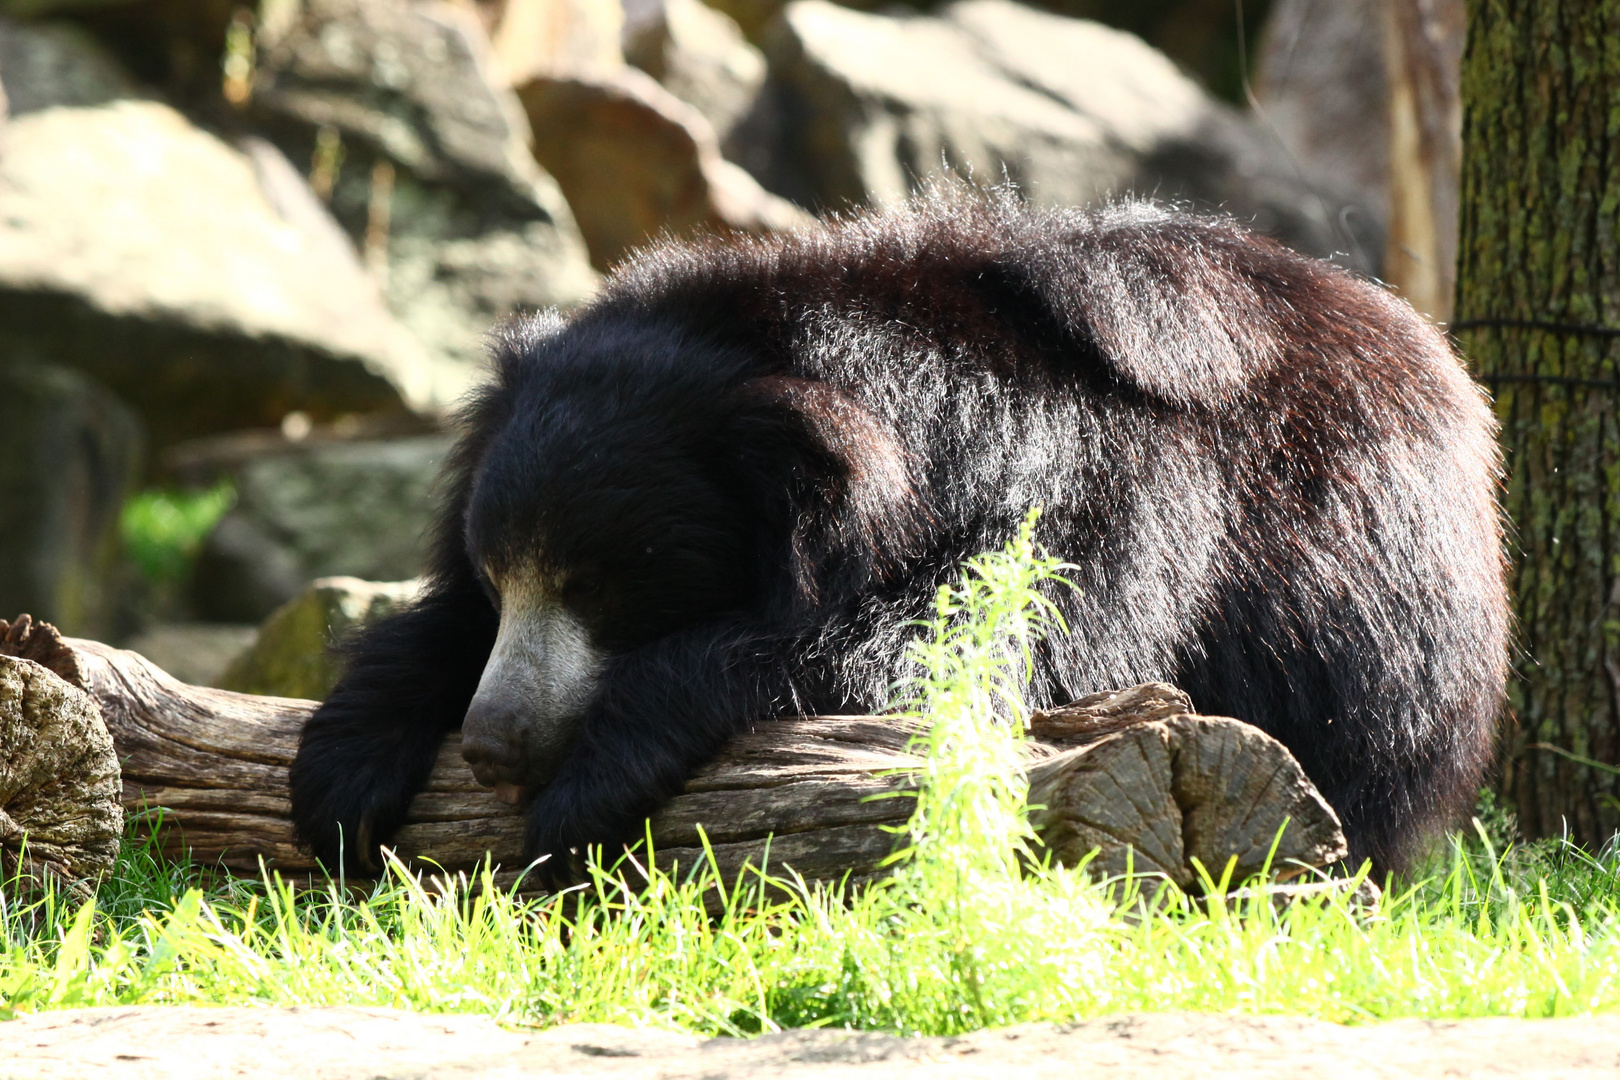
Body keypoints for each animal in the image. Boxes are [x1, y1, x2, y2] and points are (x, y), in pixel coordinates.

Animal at [288, 198, 1503, 880]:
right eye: (504, 581)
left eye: (609, 588)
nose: (492, 744)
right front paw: (340, 770)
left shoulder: (1095, 500)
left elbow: (943, 651)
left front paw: (587, 789)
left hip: (1364, 599)